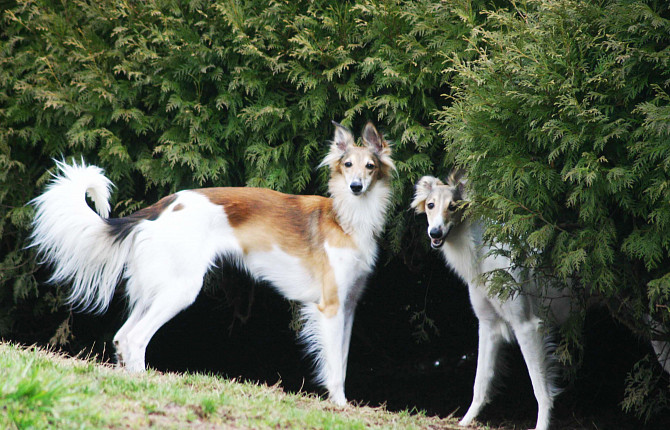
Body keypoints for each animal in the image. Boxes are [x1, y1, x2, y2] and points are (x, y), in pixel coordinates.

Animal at [31, 122, 396, 406]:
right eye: (347, 164)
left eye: (370, 166)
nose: (356, 187)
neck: (347, 219)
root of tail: (164, 205)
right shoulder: (330, 307)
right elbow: (334, 367)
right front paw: (339, 405)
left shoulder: (348, 307)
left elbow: (343, 362)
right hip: (181, 290)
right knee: (136, 339)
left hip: (157, 289)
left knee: (122, 337)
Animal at [412, 171, 668, 430]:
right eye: (431, 205)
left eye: (452, 206)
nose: (435, 234)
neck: (484, 254)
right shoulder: (488, 325)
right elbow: (480, 382)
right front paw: (465, 421)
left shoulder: (527, 326)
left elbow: (540, 389)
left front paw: (542, 424)